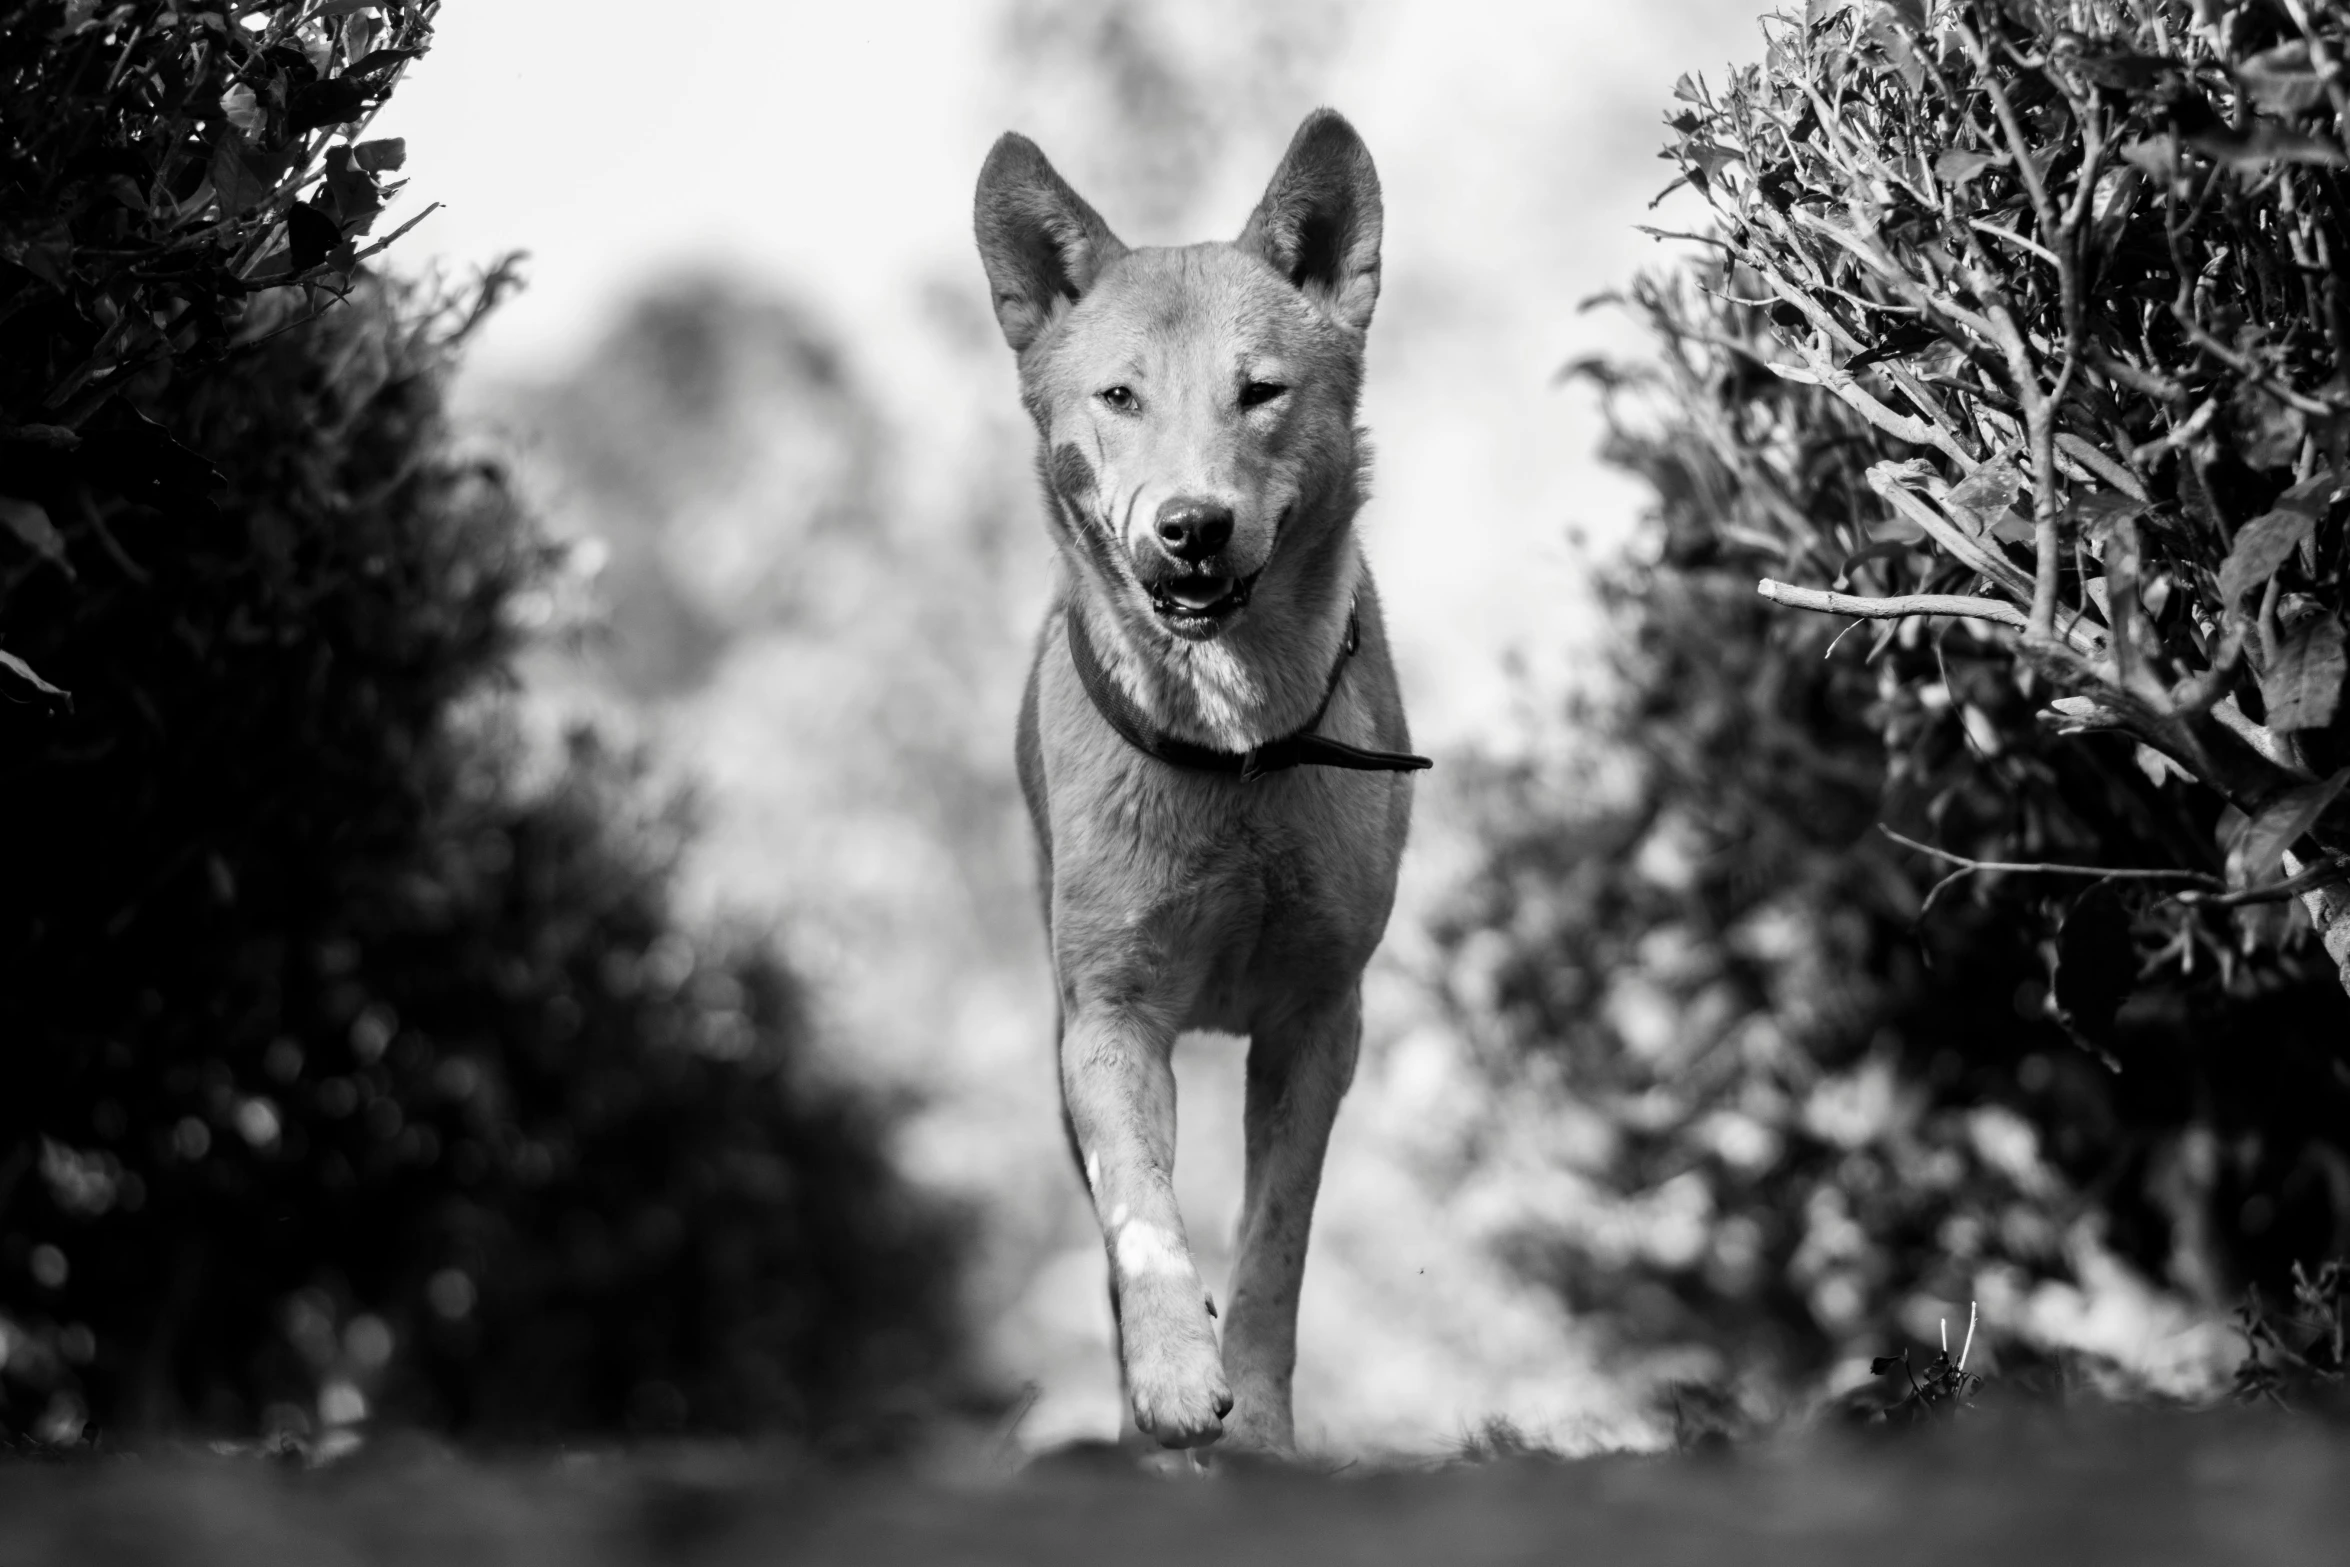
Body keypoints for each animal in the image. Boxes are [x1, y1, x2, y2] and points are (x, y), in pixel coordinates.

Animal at [963, 113, 1419, 1456]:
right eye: (1119, 397)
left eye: (1258, 391)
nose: (1192, 527)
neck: (1237, 756)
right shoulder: (1109, 1018)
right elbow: (1142, 1215)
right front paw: (1170, 1378)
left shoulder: (1318, 1019)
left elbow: (1275, 1242)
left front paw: (1256, 1419)